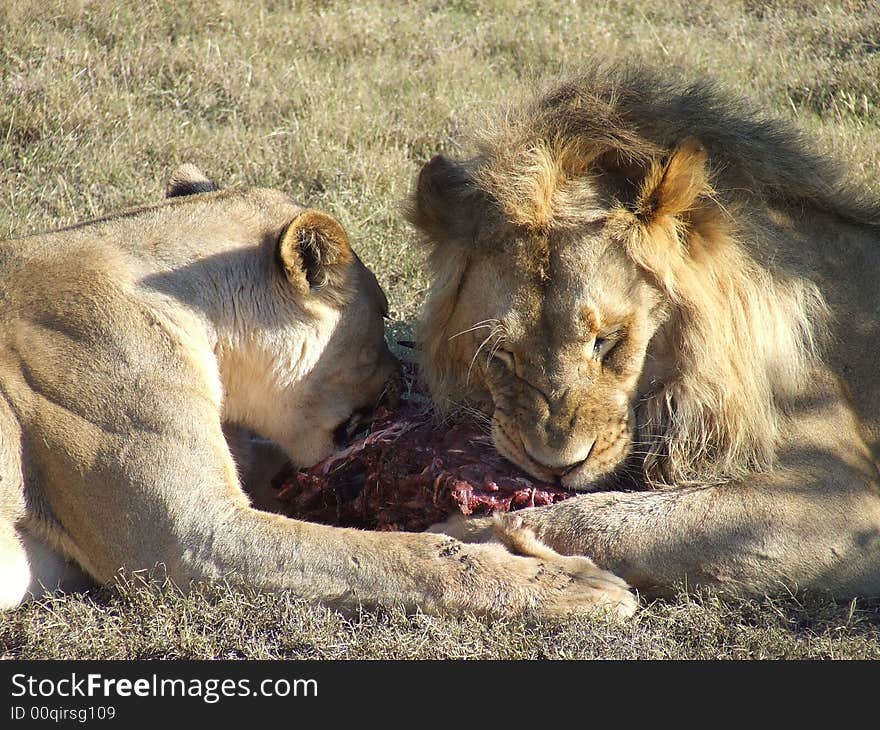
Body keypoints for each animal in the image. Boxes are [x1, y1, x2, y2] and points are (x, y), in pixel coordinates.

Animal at [0, 166, 632, 616]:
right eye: (383, 318)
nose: (402, 383)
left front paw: (500, 533)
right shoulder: (186, 537)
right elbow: (390, 555)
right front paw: (569, 581)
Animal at [412, 65, 880, 600]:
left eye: (608, 339)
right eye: (502, 353)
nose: (556, 466)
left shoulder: (839, 497)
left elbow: (620, 522)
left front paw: (464, 532)